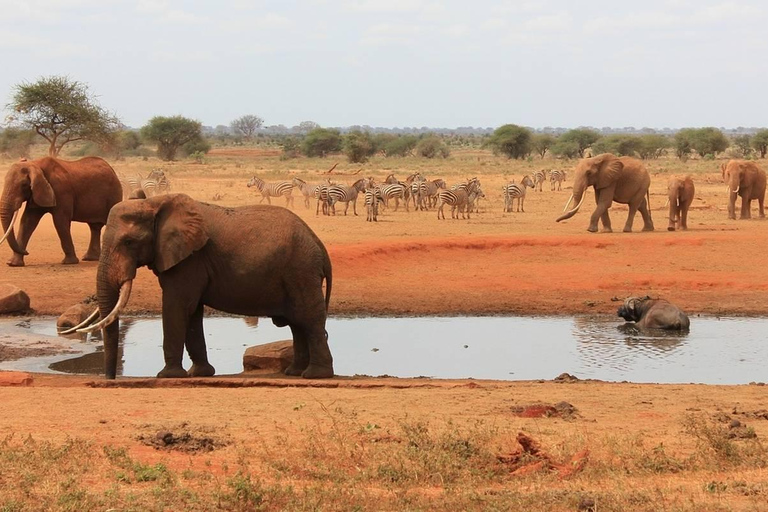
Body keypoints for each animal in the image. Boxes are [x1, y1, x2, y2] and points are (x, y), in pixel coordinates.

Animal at [78, 194, 336, 378]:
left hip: (300, 270)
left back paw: (315, 376)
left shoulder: (190, 259)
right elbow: (192, 311)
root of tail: (320, 246)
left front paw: (167, 376)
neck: (154, 202)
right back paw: (294, 373)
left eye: (129, 242)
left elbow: (176, 306)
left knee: (308, 319)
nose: (110, 378)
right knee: (297, 323)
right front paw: (199, 374)